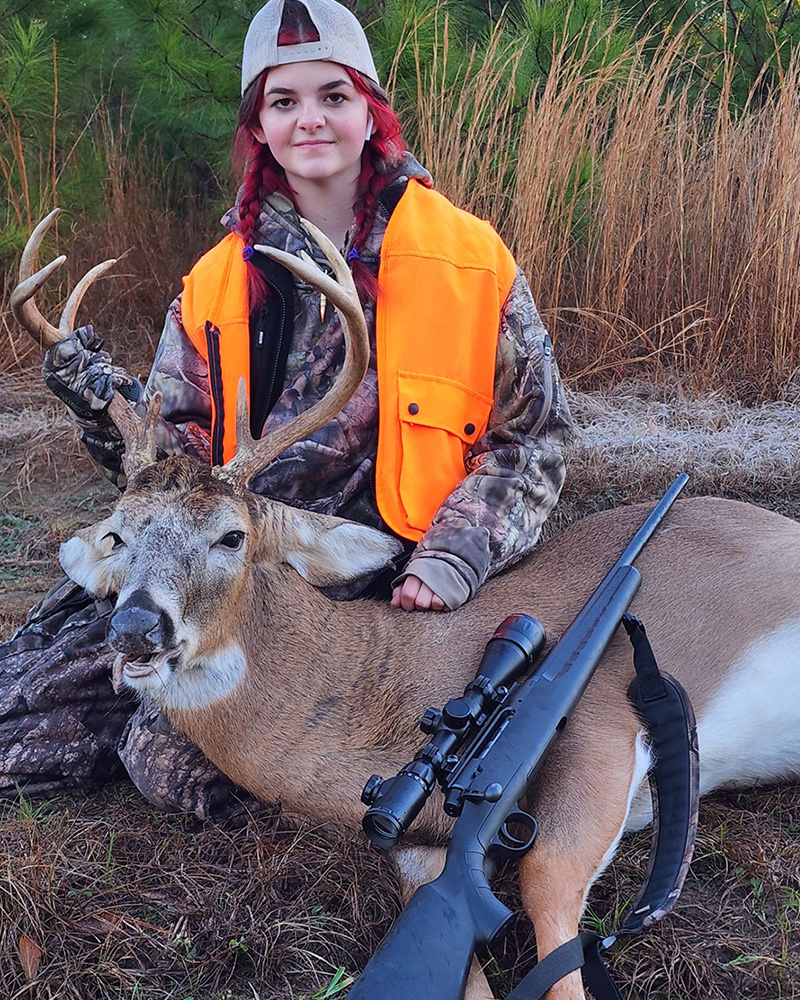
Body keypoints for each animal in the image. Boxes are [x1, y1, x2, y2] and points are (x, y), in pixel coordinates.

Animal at [11, 210, 800, 1000]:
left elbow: (545, 887)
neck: (385, 684)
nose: (134, 626)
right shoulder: (419, 853)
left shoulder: (605, 718)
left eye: (232, 535)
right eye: (117, 535)